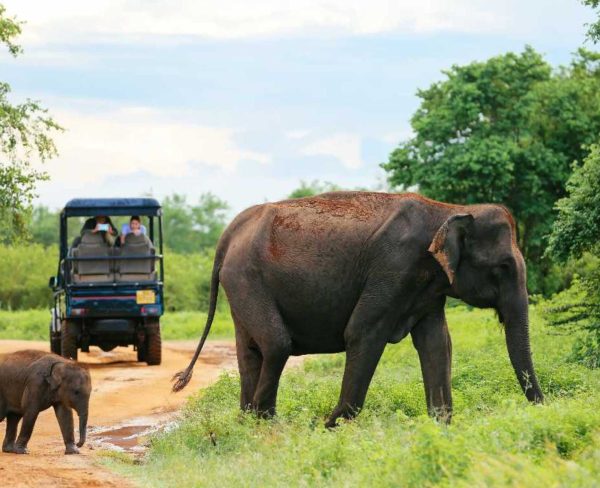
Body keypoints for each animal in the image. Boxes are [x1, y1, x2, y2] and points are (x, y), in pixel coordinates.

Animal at [172, 192, 544, 428]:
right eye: (503, 268)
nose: (543, 408)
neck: (448, 209)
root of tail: (230, 231)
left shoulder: (427, 286)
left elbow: (437, 343)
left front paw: (440, 426)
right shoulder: (393, 268)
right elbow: (363, 333)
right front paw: (329, 427)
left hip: (240, 283)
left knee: (251, 351)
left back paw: (248, 424)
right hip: (246, 279)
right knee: (276, 345)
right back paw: (262, 424)